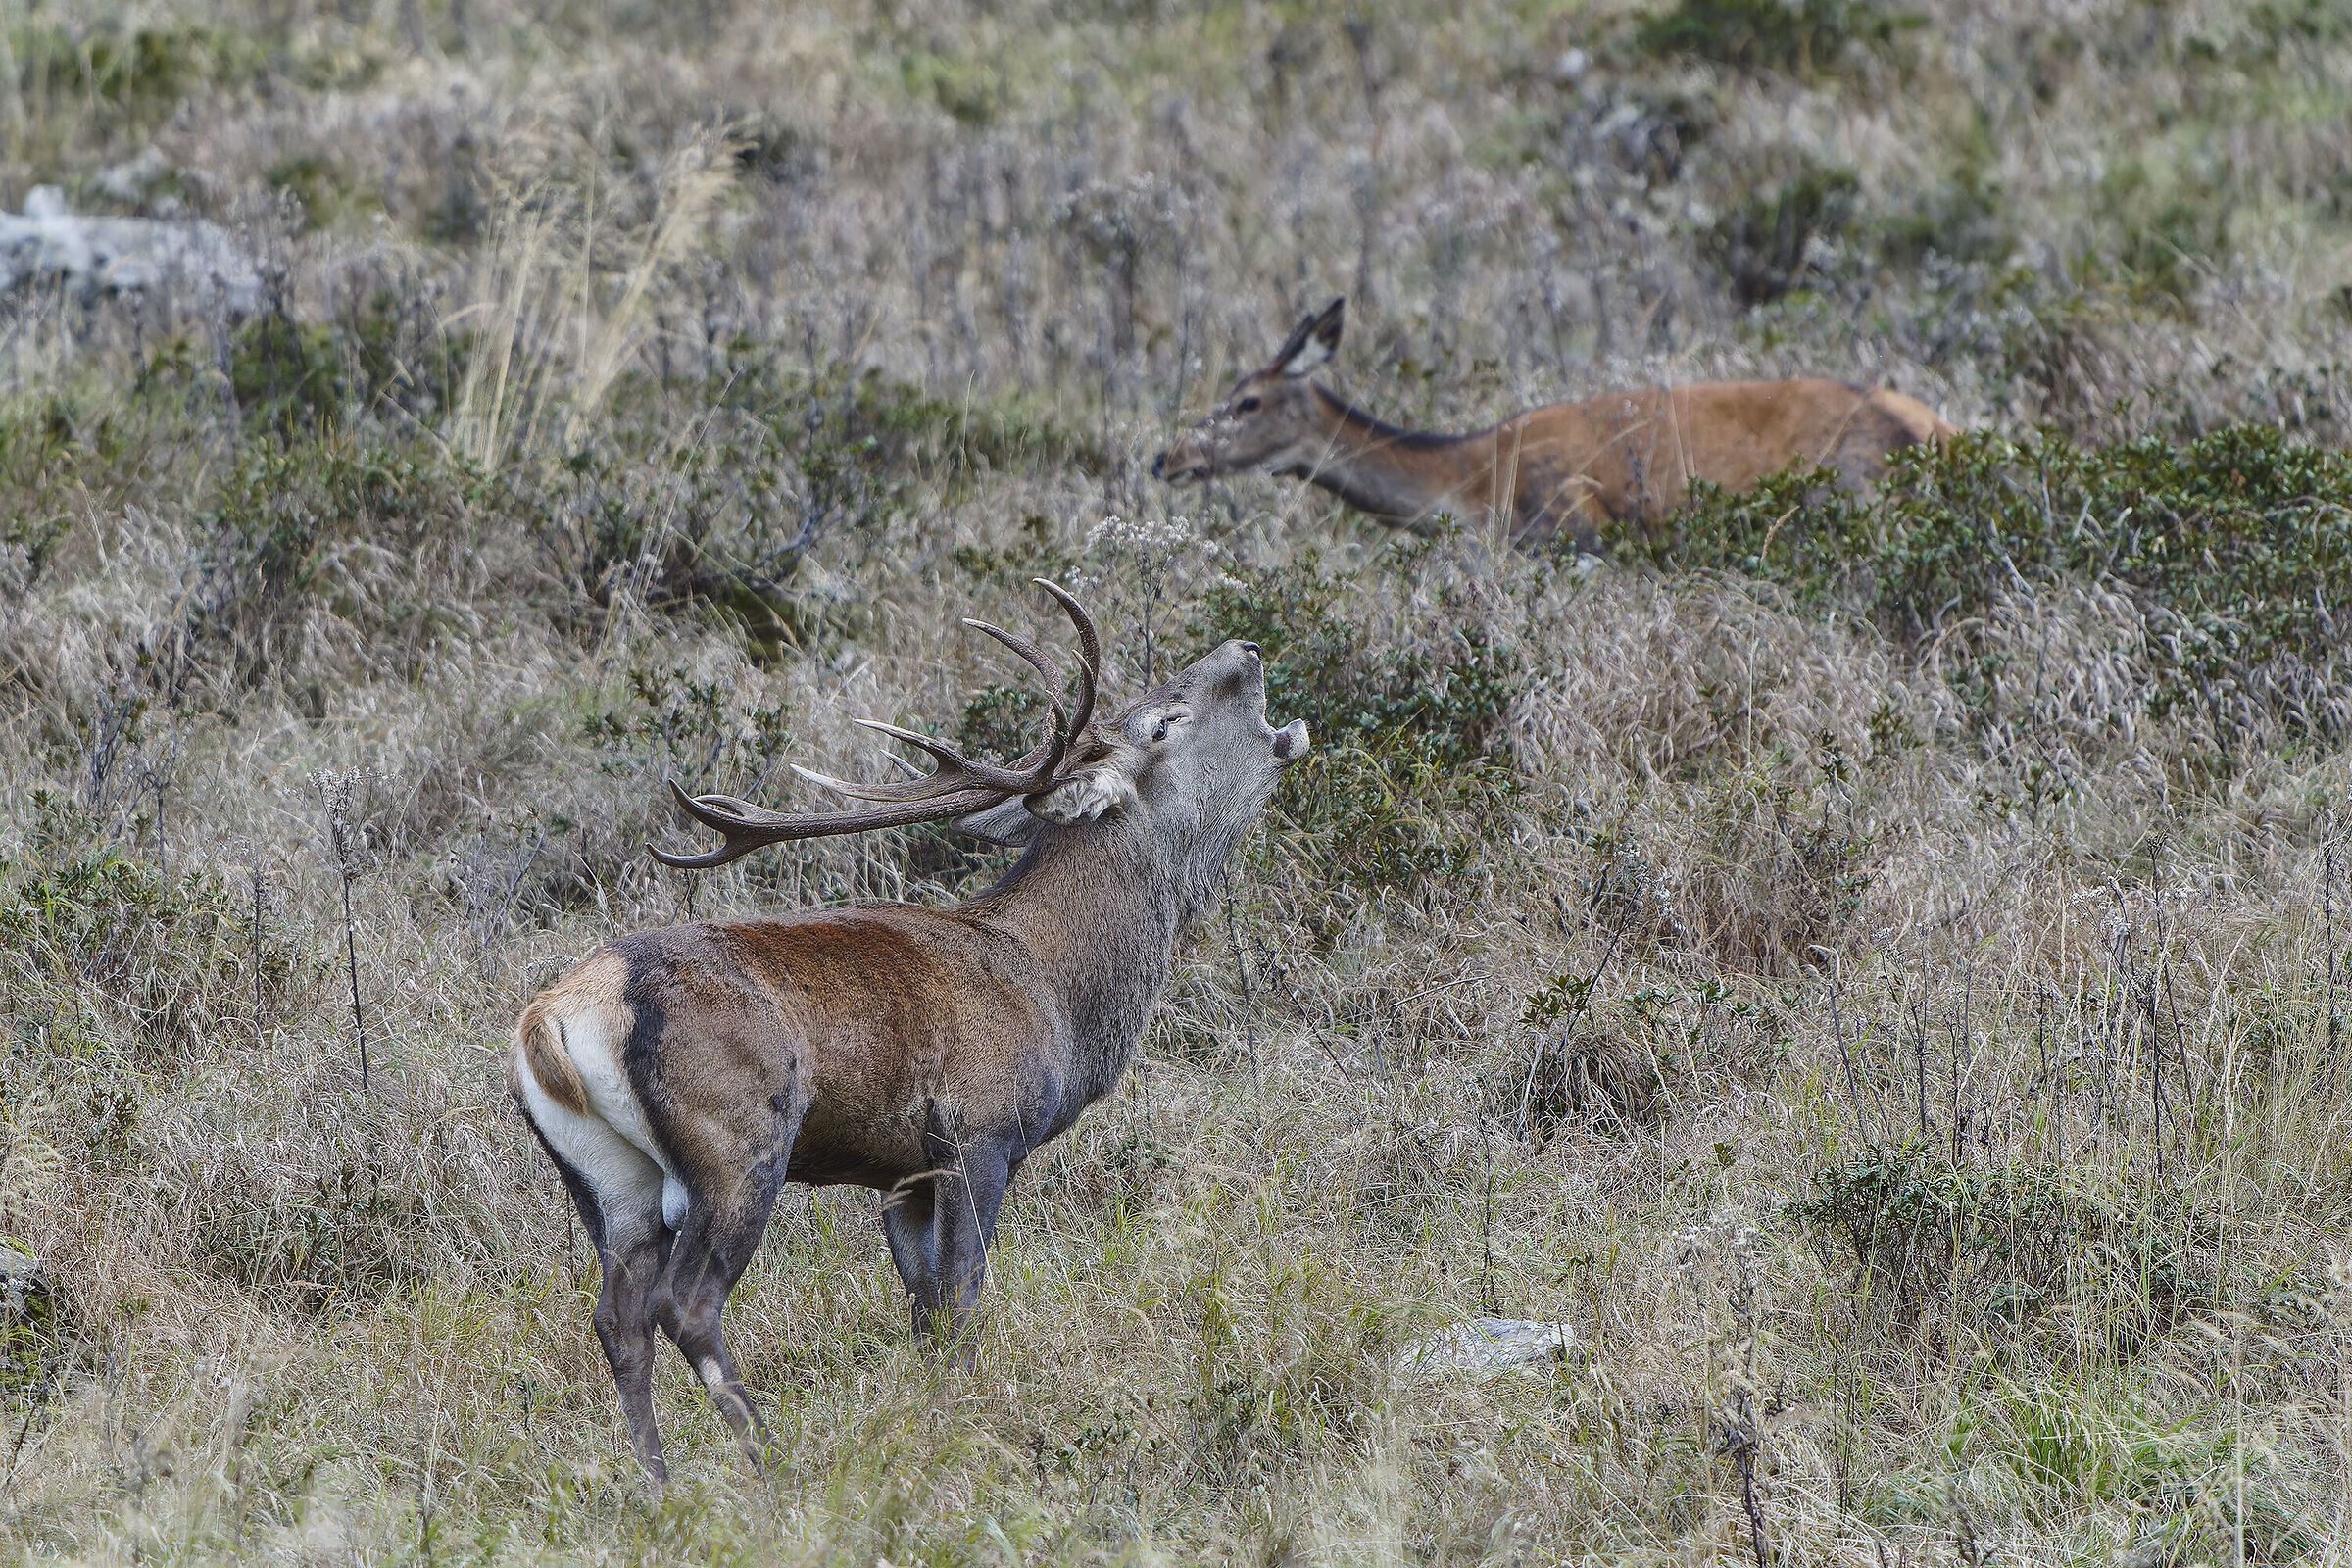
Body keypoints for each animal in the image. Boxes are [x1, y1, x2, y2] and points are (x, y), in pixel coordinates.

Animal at [508, 582, 1309, 1486]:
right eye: (1166, 721)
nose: (1246, 647)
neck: (1056, 992)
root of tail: (553, 1020)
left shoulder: (900, 1173)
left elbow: (923, 1312)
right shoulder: (978, 1130)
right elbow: (962, 1299)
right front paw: (961, 1433)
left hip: (611, 1182)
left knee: (618, 1319)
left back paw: (660, 1483)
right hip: (737, 1141)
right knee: (688, 1303)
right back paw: (770, 1462)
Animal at [1152, 297, 1956, 552]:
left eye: (1247, 401)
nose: (1166, 459)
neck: (1471, 484)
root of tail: (1938, 433)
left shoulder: (1574, 526)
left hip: (1855, 495)